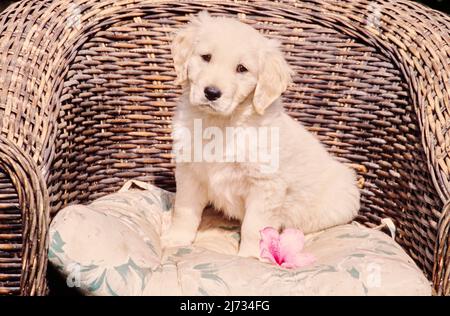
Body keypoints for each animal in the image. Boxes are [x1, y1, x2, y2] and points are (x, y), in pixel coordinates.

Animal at [160, 12, 360, 260]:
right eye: (206, 57)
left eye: (241, 69)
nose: (212, 93)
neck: (220, 123)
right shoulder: (189, 172)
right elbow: (184, 209)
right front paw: (176, 239)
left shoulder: (265, 186)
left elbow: (254, 227)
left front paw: (250, 257)